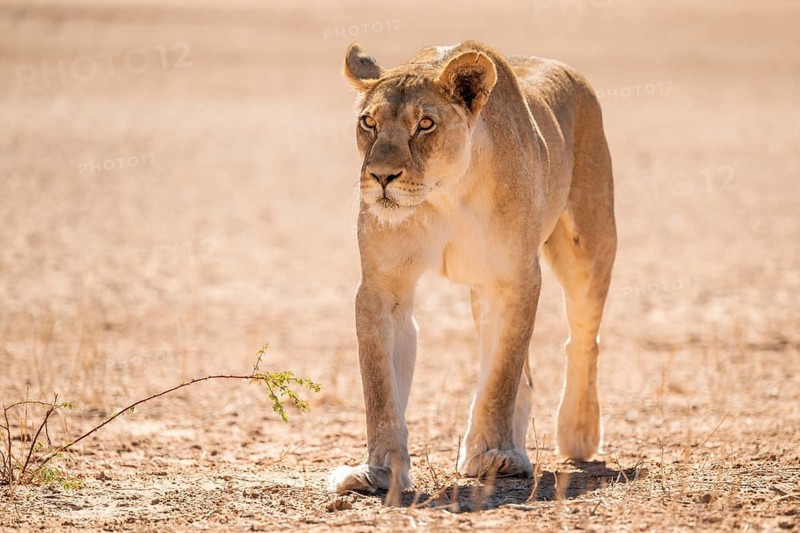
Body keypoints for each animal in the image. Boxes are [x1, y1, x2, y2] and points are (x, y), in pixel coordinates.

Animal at [329, 40, 617, 496]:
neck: (445, 194)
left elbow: (501, 376)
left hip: (589, 246)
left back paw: (578, 431)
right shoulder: (382, 287)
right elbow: (380, 387)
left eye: (425, 124)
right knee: (525, 374)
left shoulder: (516, 279)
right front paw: (378, 470)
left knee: (583, 339)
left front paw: (496, 455)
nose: (381, 177)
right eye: (368, 122)